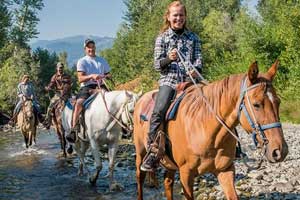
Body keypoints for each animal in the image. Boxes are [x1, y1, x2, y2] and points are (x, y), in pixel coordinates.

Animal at [134, 61, 288, 200]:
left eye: (278, 102)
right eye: (256, 104)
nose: (280, 151)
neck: (205, 129)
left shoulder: (225, 170)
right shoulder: (186, 174)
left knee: (168, 183)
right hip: (141, 153)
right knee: (140, 178)